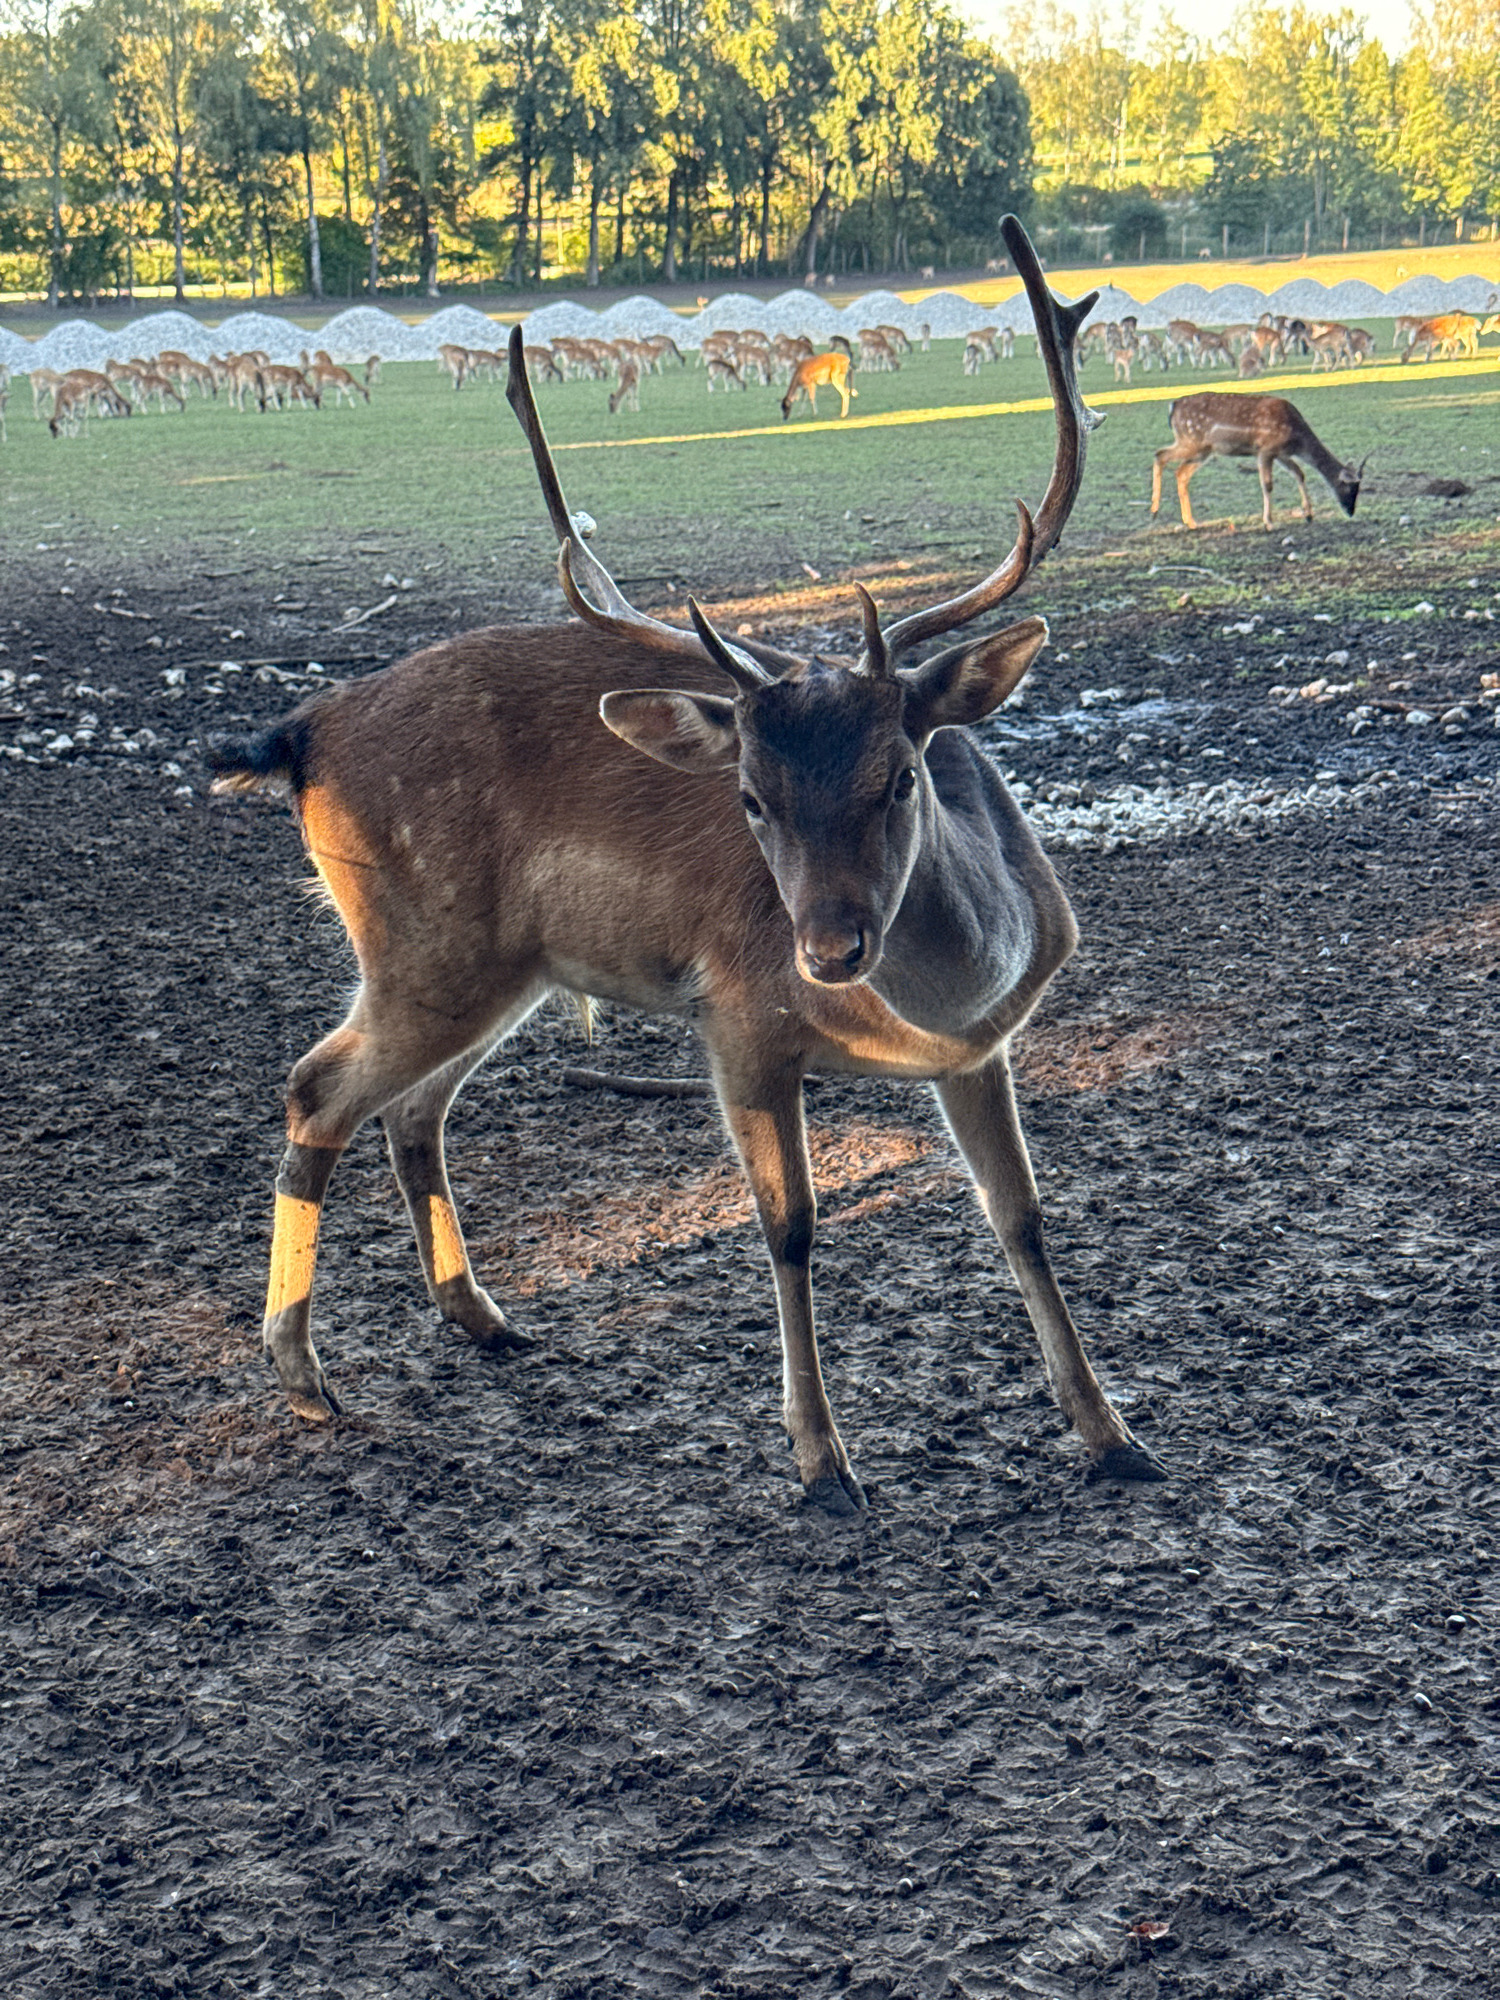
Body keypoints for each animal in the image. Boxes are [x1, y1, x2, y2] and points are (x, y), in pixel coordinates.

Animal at [205, 214, 1162, 1516]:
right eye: (750, 798)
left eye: (900, 775)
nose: (829, 947)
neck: (938, 1004)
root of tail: (300, 734)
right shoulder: (738, 1021)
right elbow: (791, 1225)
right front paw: (822, 1461)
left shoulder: (984, 1049)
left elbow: (1021, 1215)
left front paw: (1113, 1432)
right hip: (420, 947)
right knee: (317, 1087)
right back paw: (304, 1374)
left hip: (494, 970)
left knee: (411, 1107)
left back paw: (479, 1314)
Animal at [1150, 391, 1363, 532]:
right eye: (1348, 487)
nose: (1351, 511)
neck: (1296, 439)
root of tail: (1173, 406)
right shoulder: (1265, 450)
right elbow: (1267, 484)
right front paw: (1268, 522)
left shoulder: (1281, 453)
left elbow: (1299, 473)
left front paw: (1309, 515)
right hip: (1191, 441)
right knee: (1160, 455)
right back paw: (1154, 511)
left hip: (1203, 450)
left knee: (1180, 472)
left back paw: (1191, 521)